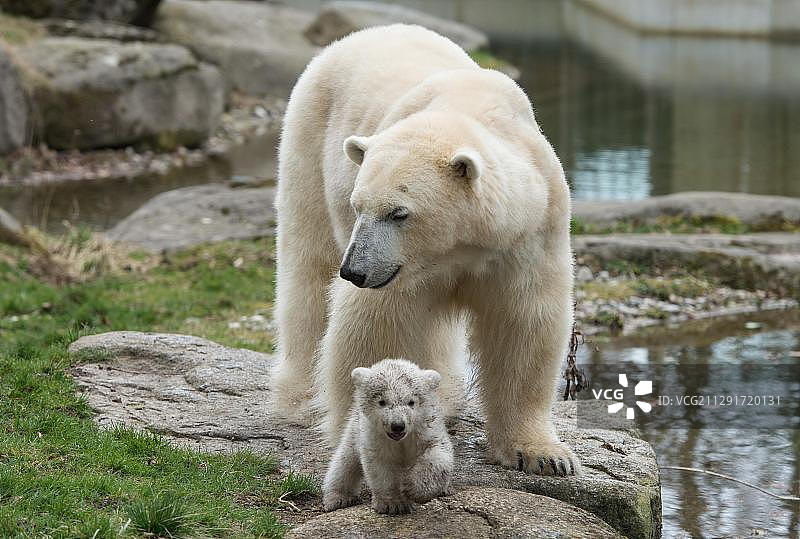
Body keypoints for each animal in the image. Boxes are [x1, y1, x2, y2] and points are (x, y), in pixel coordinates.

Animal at [271, 23, 579, 476]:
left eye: (399, 212)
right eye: (358, 206)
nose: (355, 272)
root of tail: (366, 32)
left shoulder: (527, 234)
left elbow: (522, 321)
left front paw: (544, 455)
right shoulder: (396, 270)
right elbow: (378, 326)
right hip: (309, 138)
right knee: (308, 264)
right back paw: (299, 396)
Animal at [322, 359, 453, 514]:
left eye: (411, 402)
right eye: (382, 402)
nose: (397, 425)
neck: (401, 439)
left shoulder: (426, 429)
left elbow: (437, 454)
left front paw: (413, 489)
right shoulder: (375, 437)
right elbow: (381, 465)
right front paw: (394, 504)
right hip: (354, 429)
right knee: (345, 462)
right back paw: (337, 498)